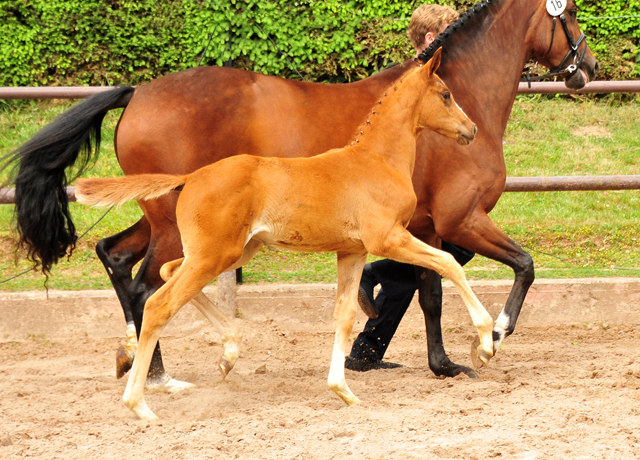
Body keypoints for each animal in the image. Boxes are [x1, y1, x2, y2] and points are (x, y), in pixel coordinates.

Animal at [79, 50, 490, 420]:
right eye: (446, 94)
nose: (471, 130)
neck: (377, 161)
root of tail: (190, 177)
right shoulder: (388, 238)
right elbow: (449, 263)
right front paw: (485, 343)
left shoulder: (353, 252)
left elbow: (344, 315)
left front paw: (343, 391)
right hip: (214, 255)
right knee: (157, 303)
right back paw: (141, 403)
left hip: (231, 252)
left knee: (167, 274)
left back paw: (228, 353)